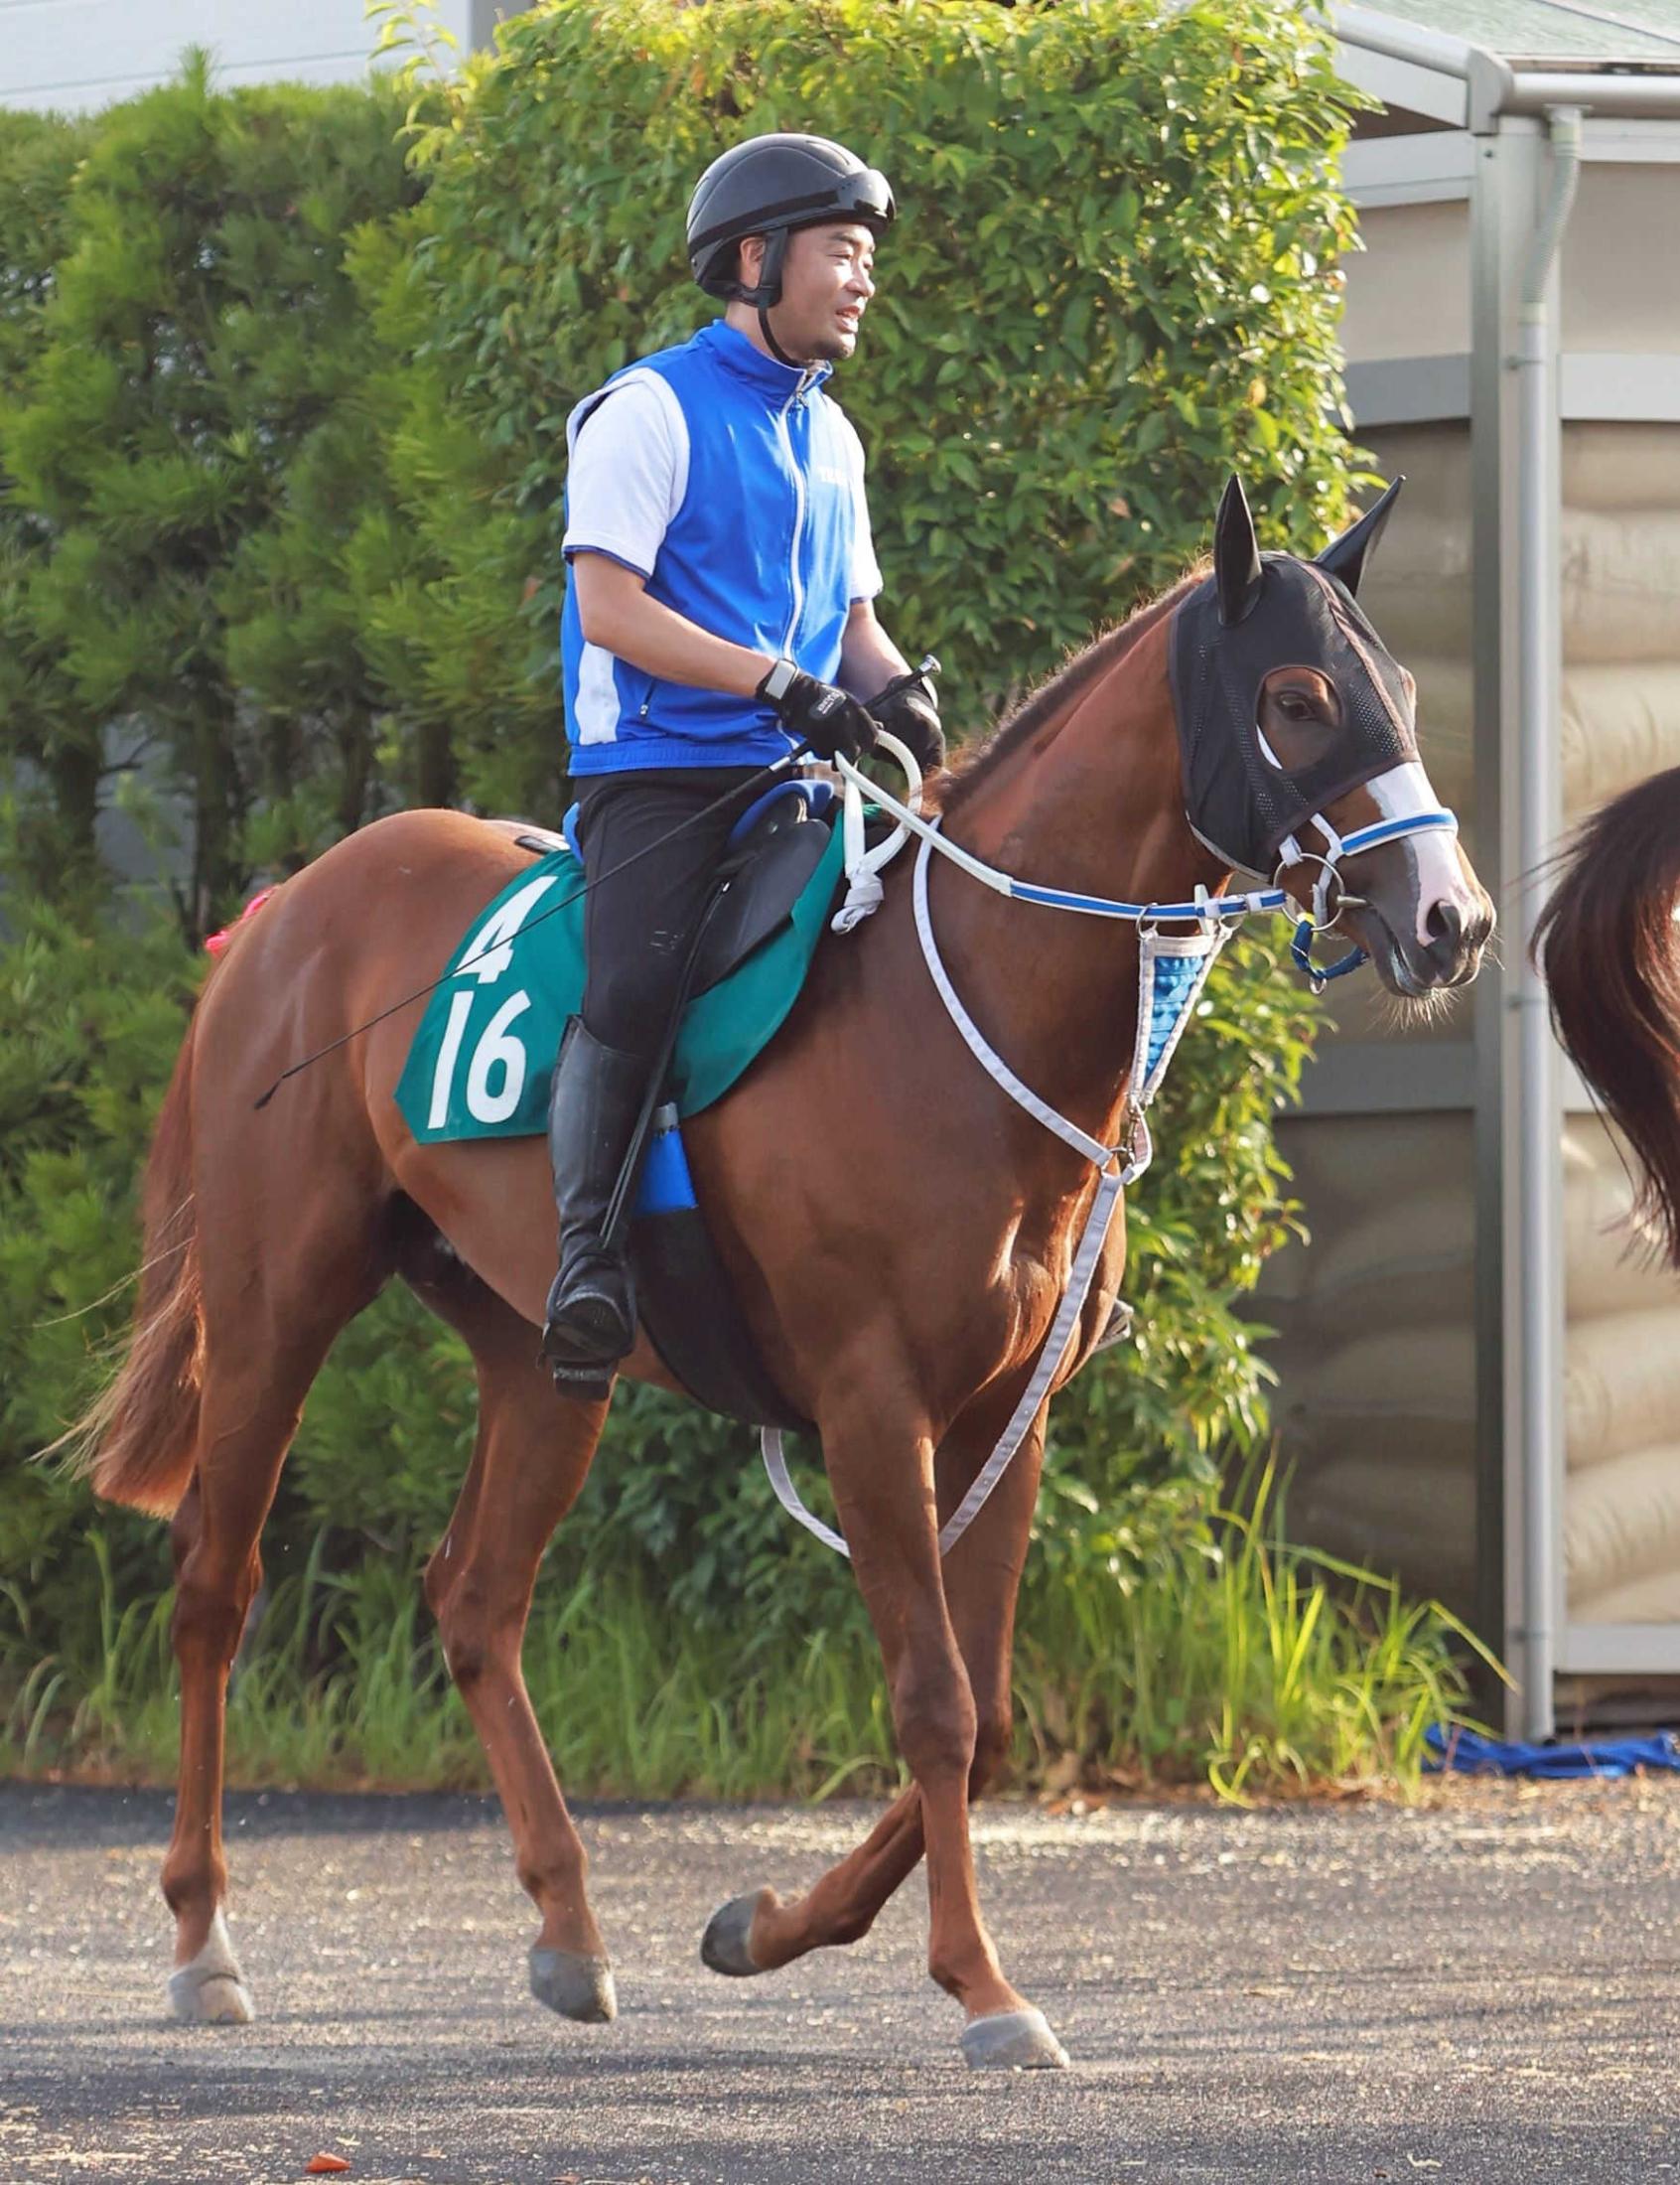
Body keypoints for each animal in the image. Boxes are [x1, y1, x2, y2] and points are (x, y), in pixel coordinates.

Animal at [74, 478, 1493, 2062]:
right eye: (1298, 699)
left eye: (1404, 690)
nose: (1453, 920)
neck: (962, 1012)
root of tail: (280, 916)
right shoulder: (876, 1408)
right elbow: (935, 1702)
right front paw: (981, 1985)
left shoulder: (1007, 1415)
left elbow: (991, 1718)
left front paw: (763, 1928)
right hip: (276, 1303)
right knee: (216, 1581)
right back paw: (204, 1940)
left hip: (543, 1357)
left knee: (476, 1599)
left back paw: (569, 1928)